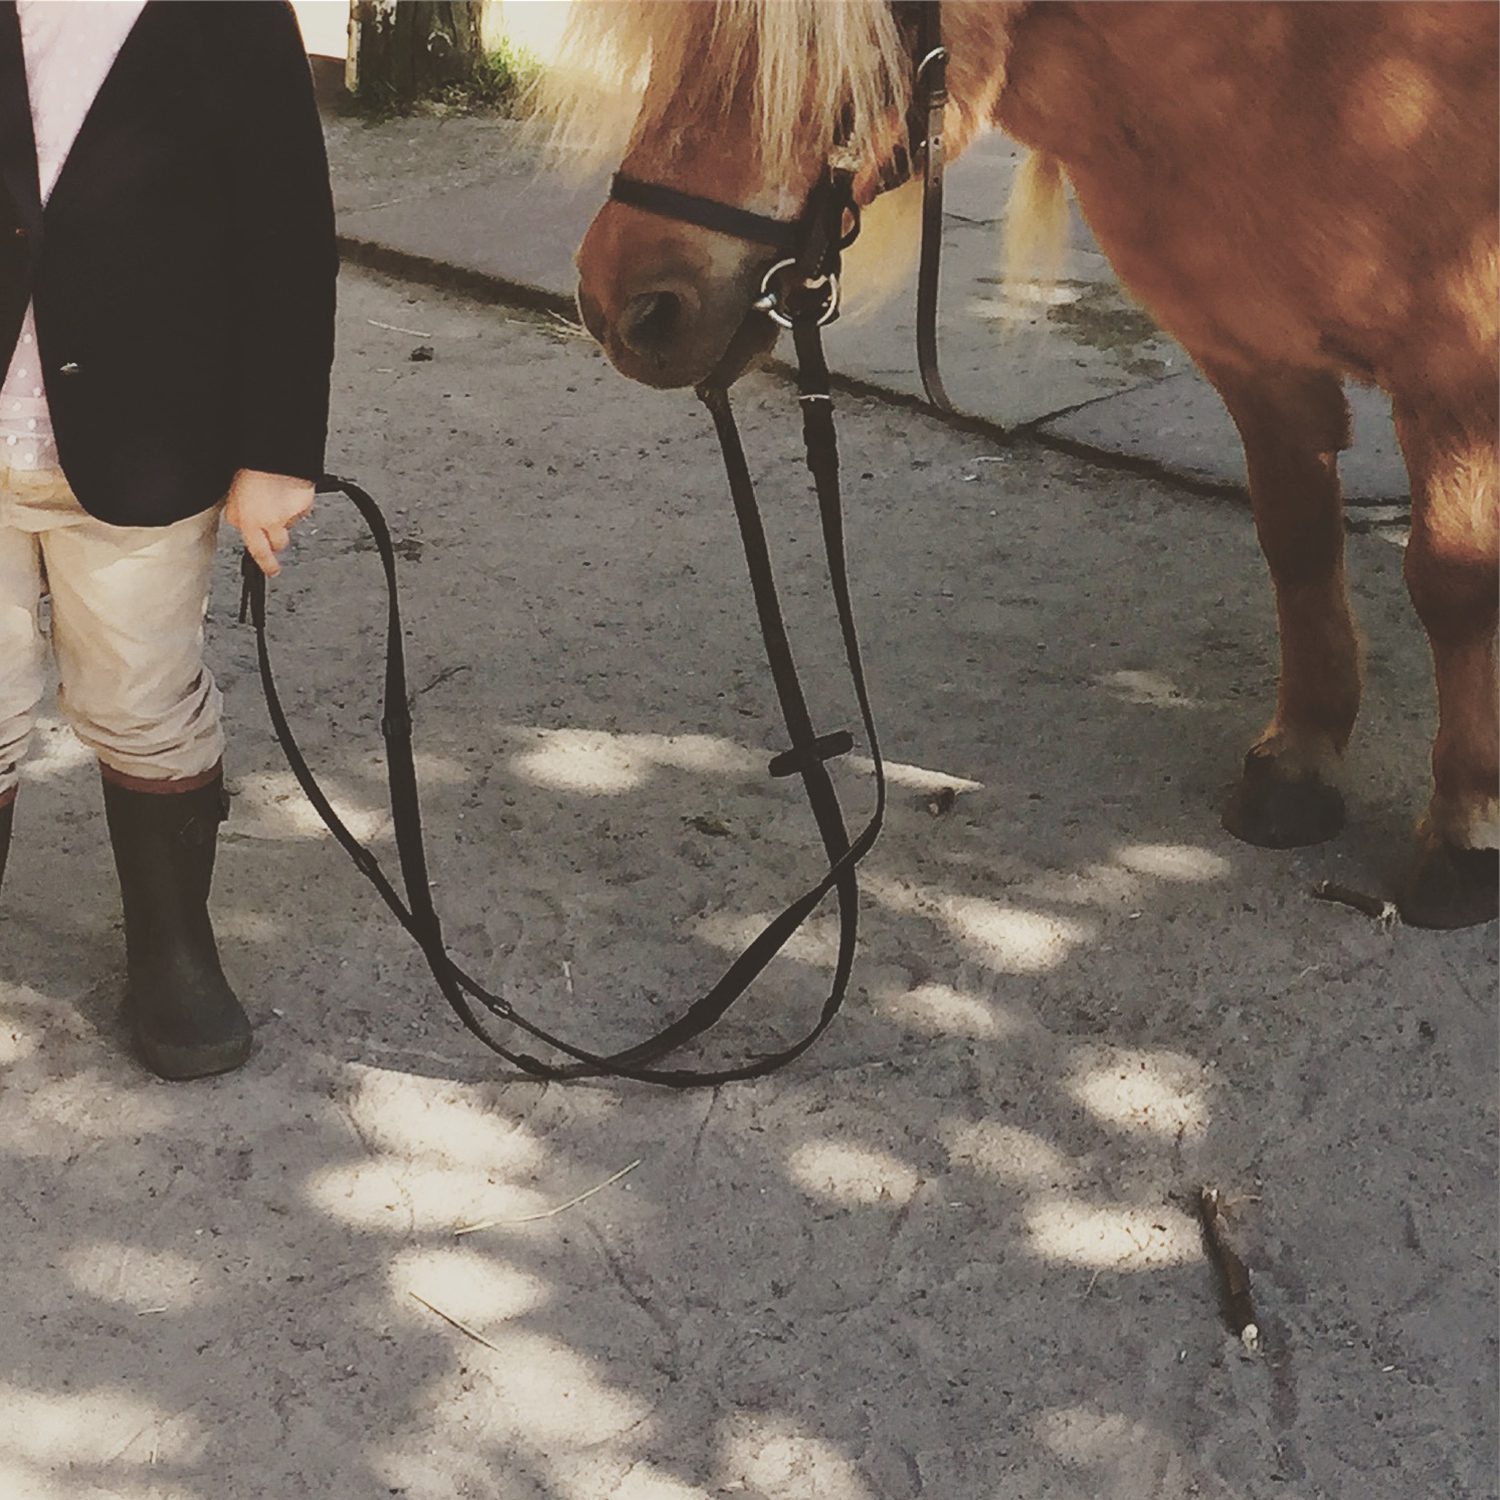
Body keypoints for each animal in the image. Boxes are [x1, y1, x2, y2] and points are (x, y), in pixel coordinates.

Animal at [558, 0, 1494, 924]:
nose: (622, 303)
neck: (1327, 57)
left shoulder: (1457, 381)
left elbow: (1453, 584)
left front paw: (1465, 829)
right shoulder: (1254, 359)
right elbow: (1298, 543)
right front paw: (1301, 761)